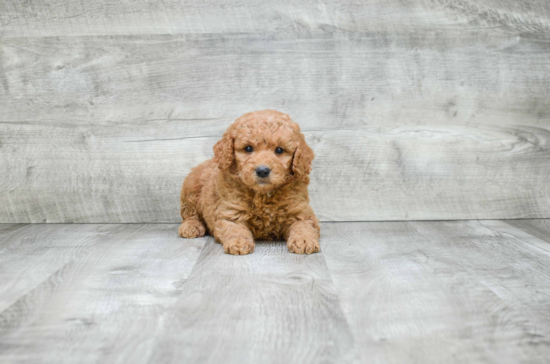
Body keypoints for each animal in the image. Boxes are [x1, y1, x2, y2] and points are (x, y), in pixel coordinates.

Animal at [179, 109, 322, 255]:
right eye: (248, 148)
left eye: (279, 150)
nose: (262, 171)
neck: (263, 195)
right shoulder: (232, 212)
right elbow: (235, 229)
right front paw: (238, 243)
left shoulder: (300, 211)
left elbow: (303, 225)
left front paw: (304, 240)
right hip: (191, 189)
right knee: (190, 214)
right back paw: (191, 227)